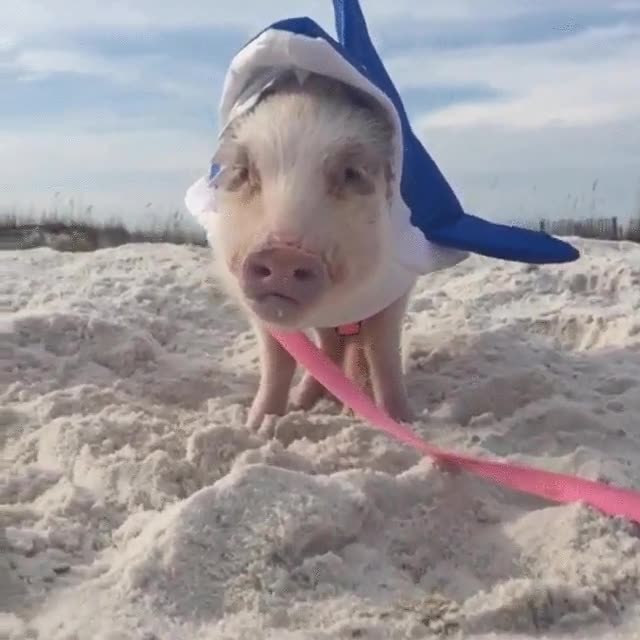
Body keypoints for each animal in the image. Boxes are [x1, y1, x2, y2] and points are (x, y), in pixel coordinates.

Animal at [208, 71, 416, 429]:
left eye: (351, 173)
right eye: (244, 172)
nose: (282, 253)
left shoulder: (396, 288)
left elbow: (383, 353)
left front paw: (403, 420)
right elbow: (277, 361)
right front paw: (258, 425)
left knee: (357, 346)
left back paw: (351, 411)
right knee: (331, 344)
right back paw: (305, 401)